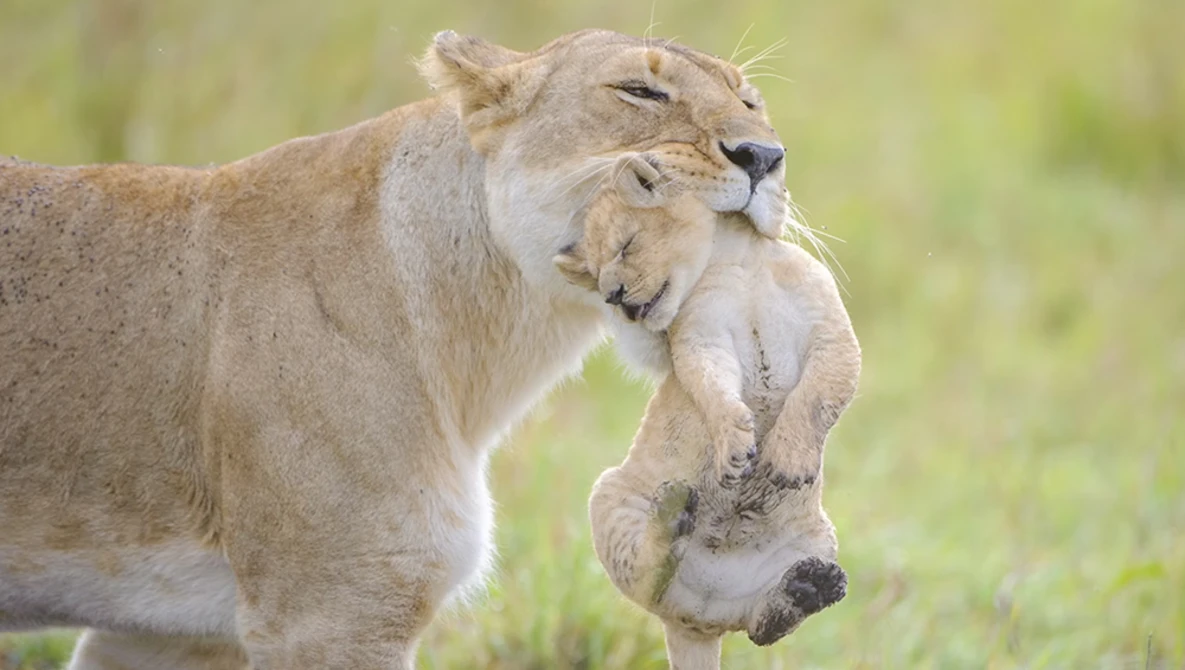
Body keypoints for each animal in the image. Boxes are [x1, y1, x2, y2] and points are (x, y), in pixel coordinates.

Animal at [553, 153, 861, 669]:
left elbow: (818, 397)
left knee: (762, 627)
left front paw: (786, 462)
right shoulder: (702, 336)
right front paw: (735, 449)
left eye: (626, 245)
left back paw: (807, 588)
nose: (614, 296)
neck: (743, 262)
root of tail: (698, 619)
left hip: (817, 538)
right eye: (595, 276)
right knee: (649, 578)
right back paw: (672, 519)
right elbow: (712, 387)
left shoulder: (833, 334)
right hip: (610, 498)